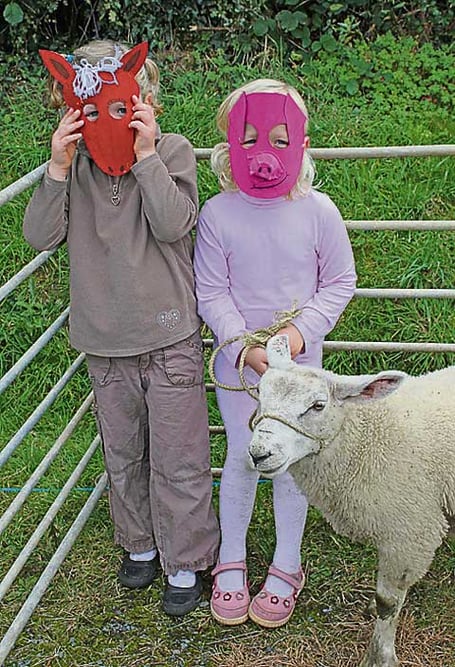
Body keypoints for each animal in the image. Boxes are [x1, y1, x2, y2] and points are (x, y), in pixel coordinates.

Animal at [248, 335, 455, 667]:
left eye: (318, 405)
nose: (259, 454)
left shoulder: (410, 533)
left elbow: (388, 603)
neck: (366, 439)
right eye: (259, 394)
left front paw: (380, 656)